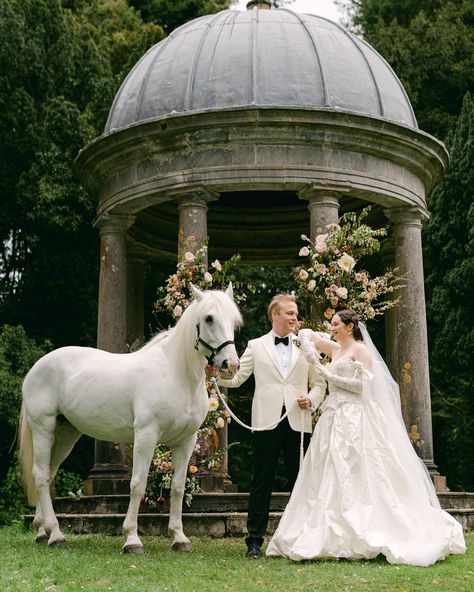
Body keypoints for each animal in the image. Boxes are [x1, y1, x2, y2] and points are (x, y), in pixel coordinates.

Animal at [19, 284, 241, 552]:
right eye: (209, 318)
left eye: (234, 321)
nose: (231, 365)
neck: (176, 374)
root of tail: (36, 367)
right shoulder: (146, 435)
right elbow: (137, 485)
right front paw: (132, 539)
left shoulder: (186, 441)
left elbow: (178, 487)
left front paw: (179, 538)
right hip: (44, 428)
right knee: (41, 476)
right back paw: (57, 535)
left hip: (66, 434)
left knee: (48, 473)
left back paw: (43, 531)